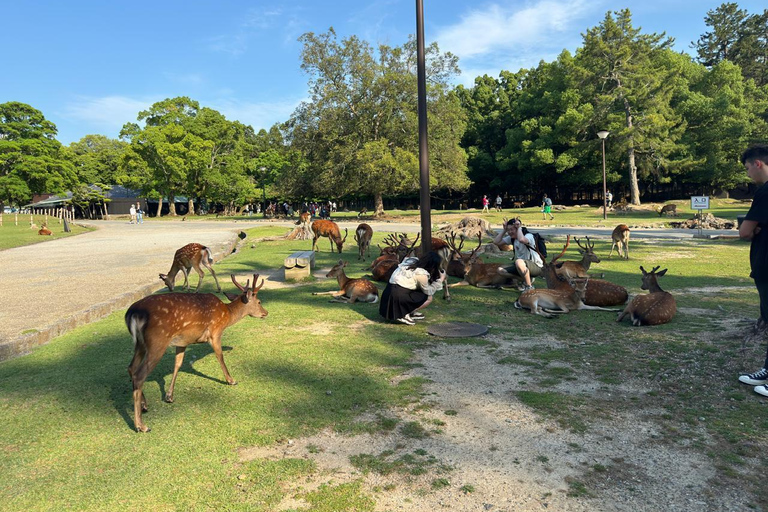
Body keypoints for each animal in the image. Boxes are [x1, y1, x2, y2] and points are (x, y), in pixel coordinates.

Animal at [125, 272, 268, 432]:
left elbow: (178, 364)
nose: (265, 313)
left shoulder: (182, 342)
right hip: (157, 341)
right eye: (259, 301)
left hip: (140, 343)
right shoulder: (215, 332)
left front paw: (169, 396)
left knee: (131, 368)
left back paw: (144, 405)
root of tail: (133, 313)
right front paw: (231, 380)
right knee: (139, 375)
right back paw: (141, 425)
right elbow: (220, 356)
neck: (227, 315)